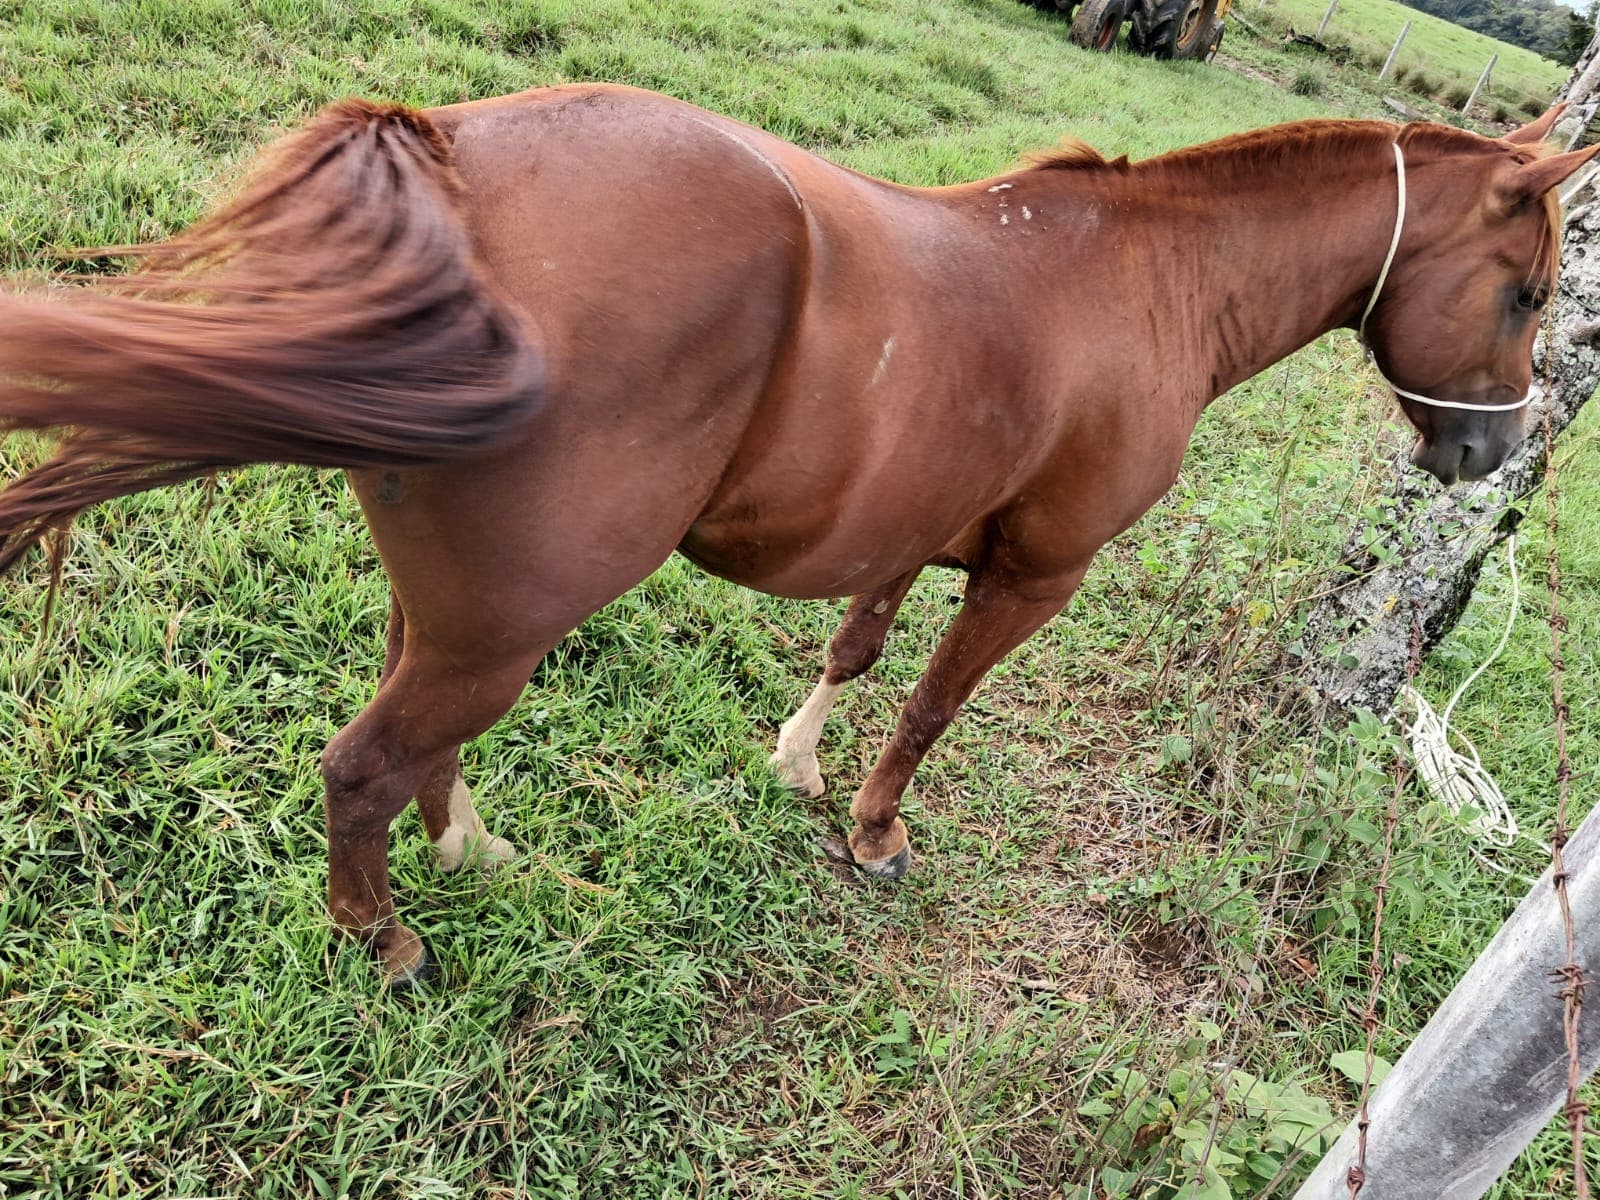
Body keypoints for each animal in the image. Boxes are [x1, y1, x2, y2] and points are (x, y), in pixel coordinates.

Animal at [0, 86, 1592, 984]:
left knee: (417, 749)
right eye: (1527, 291)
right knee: (363, 768)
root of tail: (450, 156)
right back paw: (385, 938)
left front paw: (799, 762)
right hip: (503, 628)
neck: (1148, 284)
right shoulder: (1036, 573)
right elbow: (936, 702)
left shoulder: (909, 527)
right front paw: (873, 829)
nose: (1485, 455)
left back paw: (475, 854)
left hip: (454, 613)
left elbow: (858, 646)